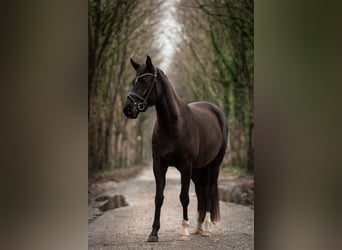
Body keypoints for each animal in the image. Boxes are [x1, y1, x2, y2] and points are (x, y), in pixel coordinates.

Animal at [122, 55, 227, 241]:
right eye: (133, 81)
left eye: (145, 81)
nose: (128, 109)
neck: (173, 124)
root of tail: (216, 111)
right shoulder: (159, 165)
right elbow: (159, 197)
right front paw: (154, 233)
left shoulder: (185, 166)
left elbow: (184, 197)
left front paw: (184, 231)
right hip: (198, 169)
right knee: (200, 191)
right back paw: (198, 227)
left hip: (214, 165)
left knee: (208, 190)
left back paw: (206, 228)